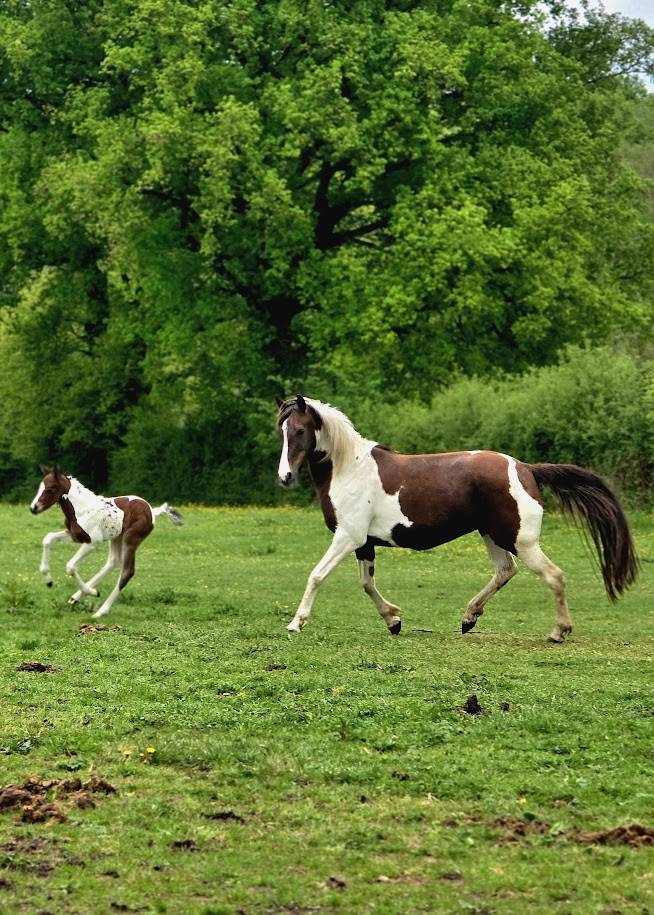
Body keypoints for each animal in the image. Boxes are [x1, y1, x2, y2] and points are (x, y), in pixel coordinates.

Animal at [30, 466, 183, 616]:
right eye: (40, 487)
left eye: (50, 488)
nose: (33, 508)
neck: (82, 509)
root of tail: (152, 510)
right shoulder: (74, 535)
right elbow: (48, 538)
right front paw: (48, 580)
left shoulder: (92, 543)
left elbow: (70, 566)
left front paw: (92, 592)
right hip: (116, 538)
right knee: (113, 562)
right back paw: (76, 597)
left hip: (131, 539)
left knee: (127, 572)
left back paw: (101, 611)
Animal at [276, 396, 638, 642]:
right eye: (281, 431)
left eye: (299, 430)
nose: (285, 477)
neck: (349, 468)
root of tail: (526, 469)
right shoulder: (364, 543)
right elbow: (367, 584)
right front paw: (394, 620)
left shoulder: (347, 536)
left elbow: (316, 576)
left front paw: (296, 623)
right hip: (492, 535)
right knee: (505, 571)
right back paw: (469, 618)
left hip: (519, 540)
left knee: (554, 576)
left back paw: (558, 632)